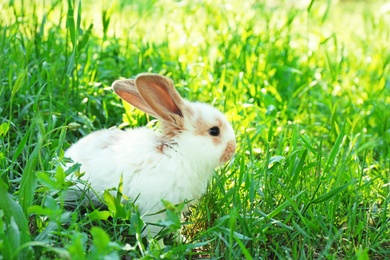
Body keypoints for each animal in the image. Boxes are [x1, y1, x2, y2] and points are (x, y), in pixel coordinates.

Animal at [64, 73, 235, 238]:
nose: (233, 149)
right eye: (214, 131)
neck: (179, 153)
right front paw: (159, 247)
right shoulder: (154, 209)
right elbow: (154, 232)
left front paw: (183, 240)